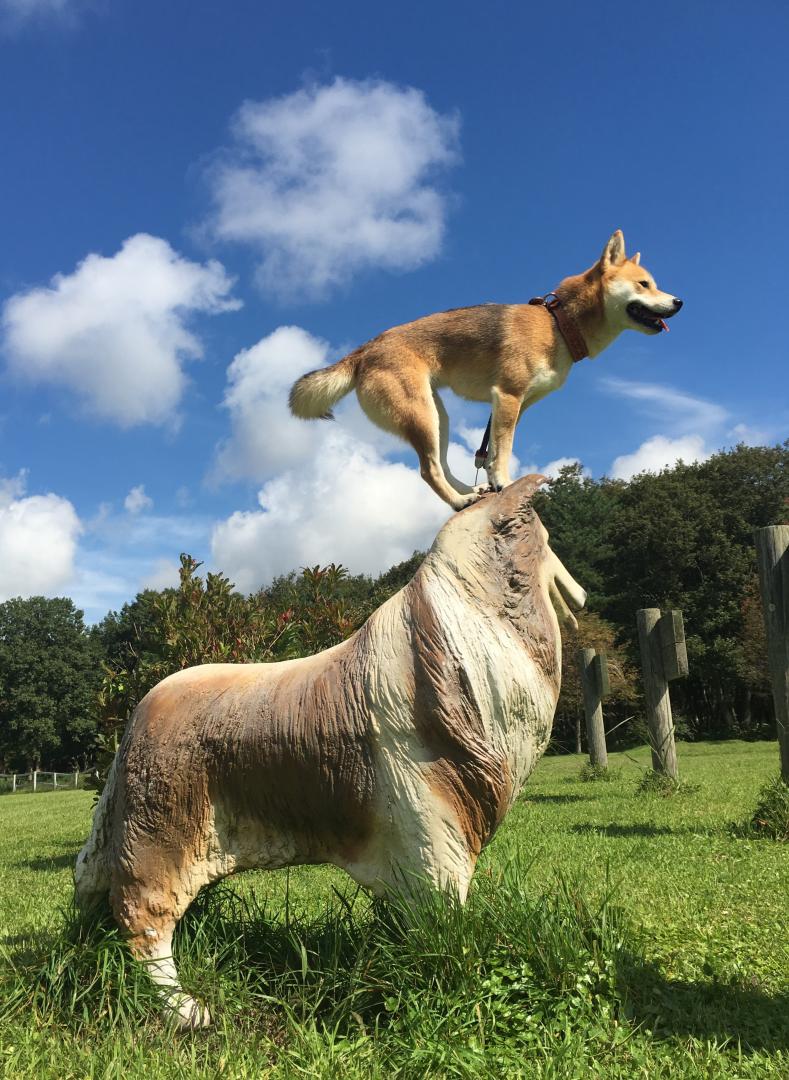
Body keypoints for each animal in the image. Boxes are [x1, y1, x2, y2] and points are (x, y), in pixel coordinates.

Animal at [77, 475, 591, 1028]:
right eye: (542, 533)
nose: (581, 595)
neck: (468, 626)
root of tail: (138, 718)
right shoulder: (434, 822)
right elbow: (443, 915)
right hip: (161, 829)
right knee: (142, 916)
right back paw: (187, 1010)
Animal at [291, 230, 686, 507]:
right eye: (644, 284)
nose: (680, 302)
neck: (559, 324)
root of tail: (364, 350)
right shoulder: (508, 395)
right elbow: (505, 450)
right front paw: (506, 482)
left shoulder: (514, 406)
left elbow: (495, 450)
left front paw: (497, 482)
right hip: (421, 415)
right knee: (428, 470)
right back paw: (459, 501)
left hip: (437, 416)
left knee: (442, 465)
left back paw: (471, 490)